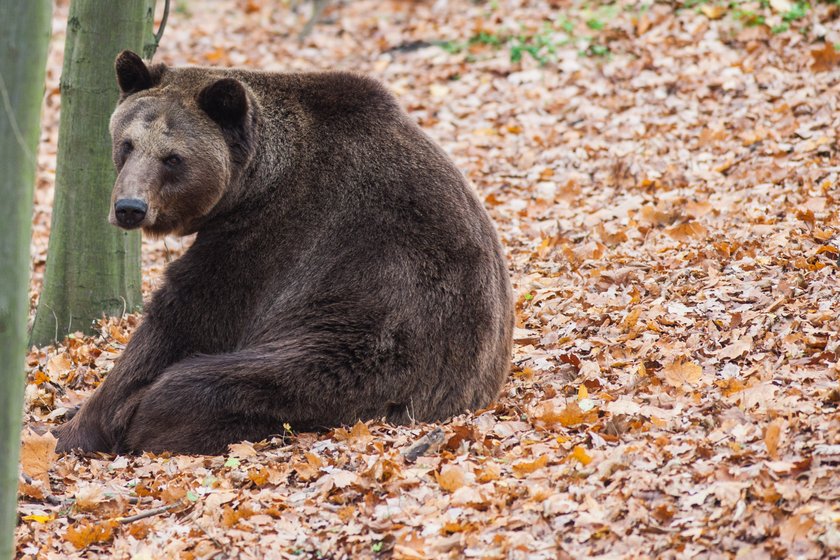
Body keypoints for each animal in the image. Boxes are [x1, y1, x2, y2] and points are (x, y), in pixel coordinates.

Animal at [54, 51, 512, 456]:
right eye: (127, 144)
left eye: (173, 157)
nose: (130, 207)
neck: (253, 182)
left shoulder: (269, 240)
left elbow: (181, 322)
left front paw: (76, 429)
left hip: (366, 348)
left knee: (201, 386)